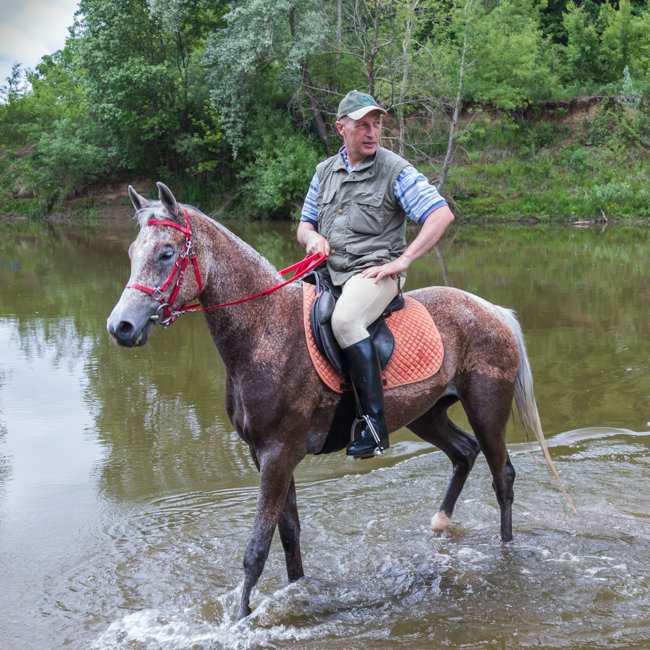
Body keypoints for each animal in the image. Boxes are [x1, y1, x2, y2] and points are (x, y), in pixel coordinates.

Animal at [106, 181, 572, 616]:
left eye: (167, 253)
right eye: (131, 252)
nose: (120, 327)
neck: (265, 331)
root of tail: (492, 309)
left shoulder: (277, 454)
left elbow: (256, 549)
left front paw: (240, 620)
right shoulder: (267, 455)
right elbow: (289, 535)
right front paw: (298, 593)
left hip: (487, 410)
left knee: (502, 477)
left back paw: (505, 550)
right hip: (426, 414)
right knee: (463, 453)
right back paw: (440, 524)